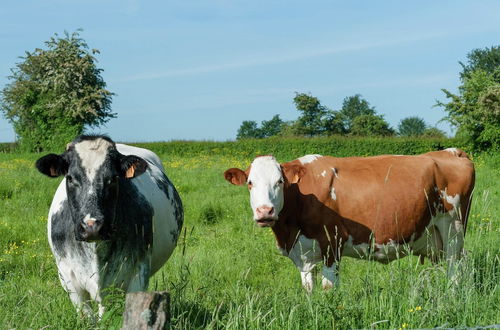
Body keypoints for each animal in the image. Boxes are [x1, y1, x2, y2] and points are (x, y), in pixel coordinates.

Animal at [225, 150, 474, 292]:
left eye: (279, 181)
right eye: (250, 182)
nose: (265, 211)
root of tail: (452, 151)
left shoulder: (332, 242)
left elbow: (328, 288)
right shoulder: (303, 252)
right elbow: (308, 288)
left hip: (453, 227)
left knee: (455, 267)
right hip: (434, 236)